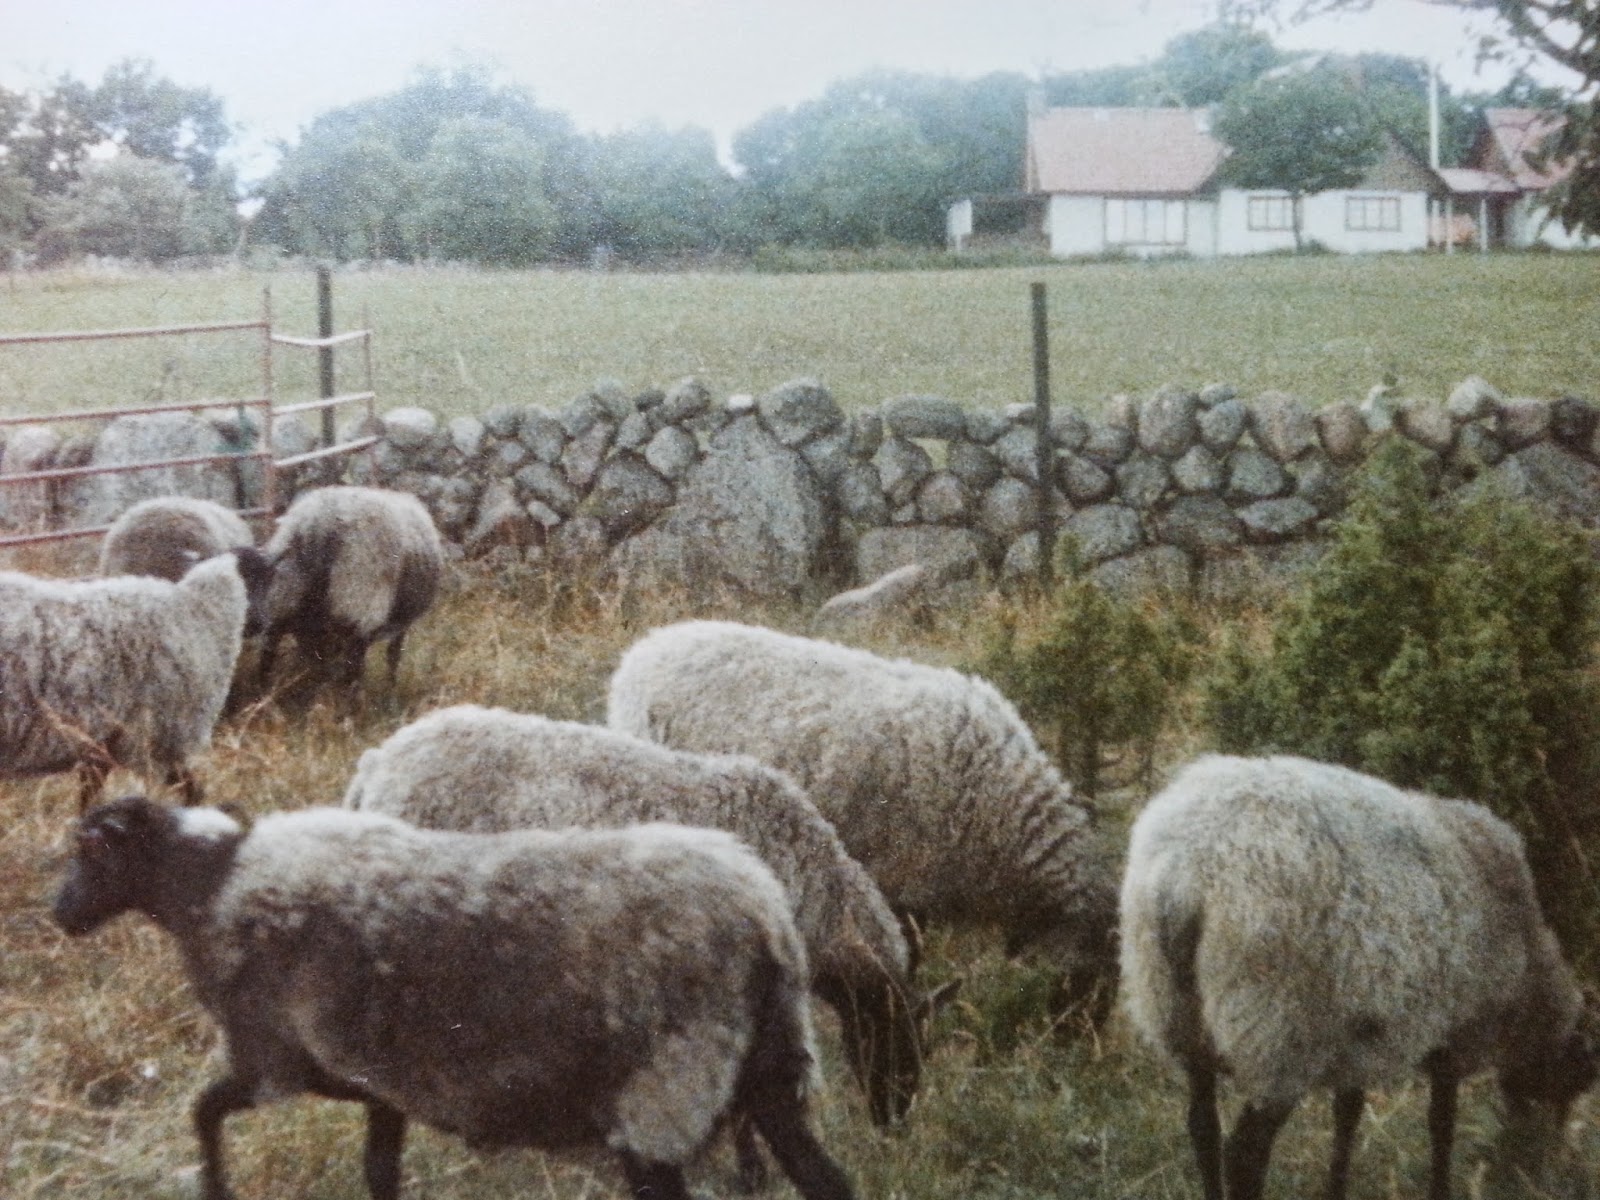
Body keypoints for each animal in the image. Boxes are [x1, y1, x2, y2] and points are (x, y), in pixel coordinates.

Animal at [0, 548, 272, 809]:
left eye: (269, 579)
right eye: (251, 580)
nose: (261, 623)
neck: (194, 615)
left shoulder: (102, 744)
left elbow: (89, 798)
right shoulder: (155, 739)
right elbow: (193, 791)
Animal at [51, 796, 858, 1200]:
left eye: (94, 848)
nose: (58, 914)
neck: (213, 886)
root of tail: (767, 917)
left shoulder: (270, 1060)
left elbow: (204, 1111)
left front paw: (215, 1189)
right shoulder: (376, 1084)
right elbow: (379, 1173)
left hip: (666, 1088)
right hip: (767, 1071)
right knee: (829, 1182)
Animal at [258, 485, 443, 693]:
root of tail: (319, 521)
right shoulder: (401, 623)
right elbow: (393, 655)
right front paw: (391, 688)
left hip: (285, 589)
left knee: (269, 645)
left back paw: (265, 690)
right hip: (359, 595)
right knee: (354, 660)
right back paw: (351, 698)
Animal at [1119, 753, 1599, 1200]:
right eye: (1569, 1086)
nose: (1542, 1168)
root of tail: (1185, 875)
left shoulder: (1358, 1036)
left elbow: (1347, 1119)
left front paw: (1337, 1187)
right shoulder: (1455, 1032)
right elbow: (1441, 1125)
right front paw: (1440, 1187)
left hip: (1175, 1011)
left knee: (1202, 1127)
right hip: (1276, 1032)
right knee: (1244, 1154)